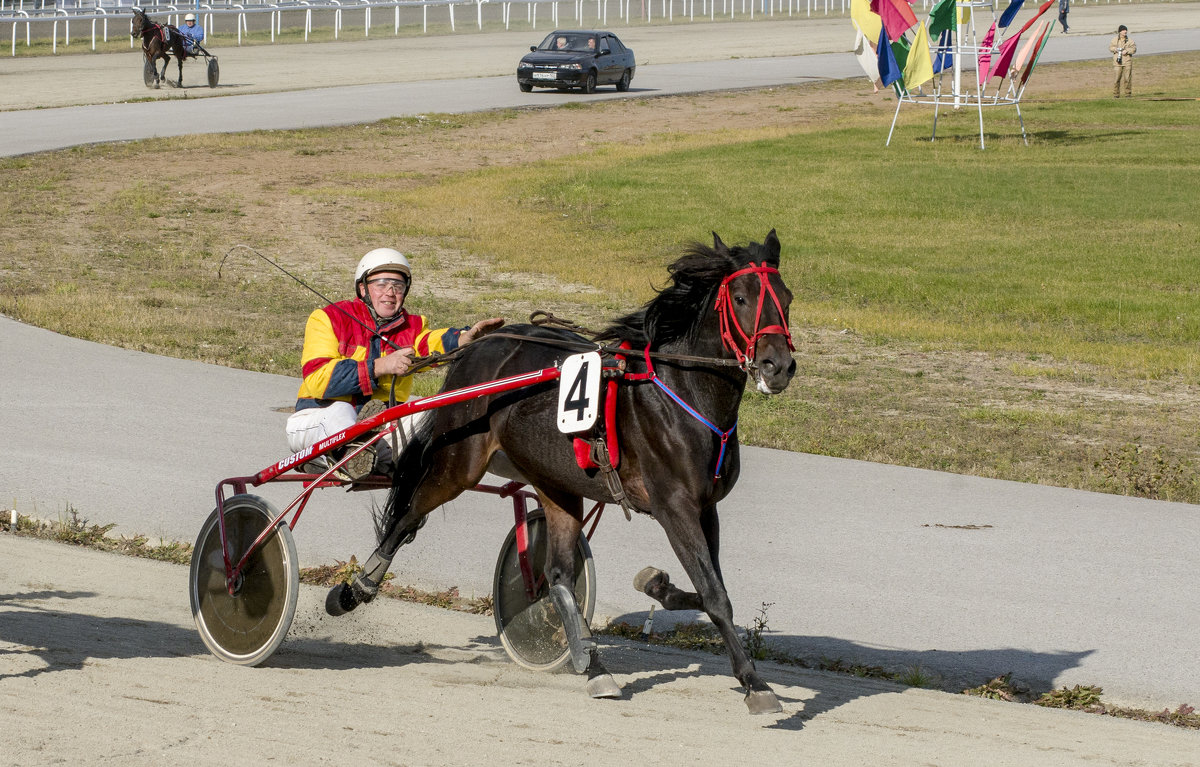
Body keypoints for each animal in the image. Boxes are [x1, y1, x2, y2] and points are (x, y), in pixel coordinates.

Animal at [328, 229, 796, 715]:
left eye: (788, 298)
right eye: (741, 298)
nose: (778, 366)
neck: (680, 392)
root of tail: (480, 346)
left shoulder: (705, 509)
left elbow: (707, 590)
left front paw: (657, 584)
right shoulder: (675, 507)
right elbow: (715, 595)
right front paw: (755, 684)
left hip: (556, 482)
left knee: (556, 576)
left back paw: (593, 664)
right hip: (459, 464)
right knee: (407, 517)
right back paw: (355, 589)